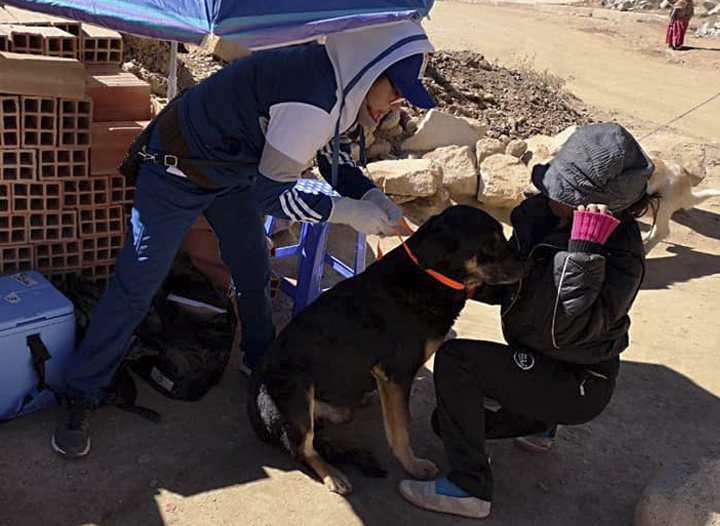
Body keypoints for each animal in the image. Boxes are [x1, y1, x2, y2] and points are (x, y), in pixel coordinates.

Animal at [248, 205, 524, 496]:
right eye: (491, 242)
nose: (528, 262)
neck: (429, 275)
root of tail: (252, 408)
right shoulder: (396, 375)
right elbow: (401, 426)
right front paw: (412, 464)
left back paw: (336, 411)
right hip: (295, 385)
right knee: (304, 448)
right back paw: (332, 473)